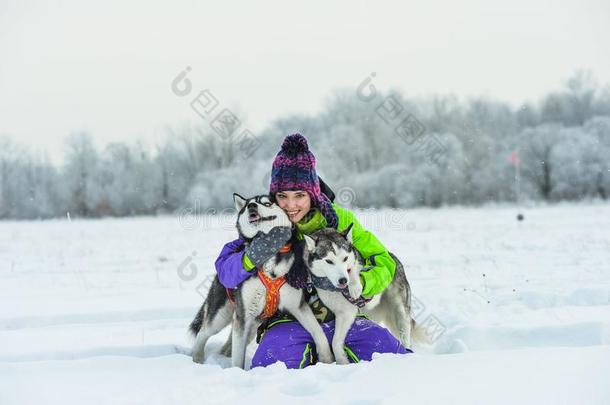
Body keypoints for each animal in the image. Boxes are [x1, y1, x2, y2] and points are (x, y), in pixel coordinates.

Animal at [189, 194, 332, 368]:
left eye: (267, 203)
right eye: (248, 205)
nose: (252, 206)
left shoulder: (298, 306)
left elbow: (318, 332)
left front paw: (327, 359)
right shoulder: (244, 315)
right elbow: (238, 358)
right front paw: (237, 371)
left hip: (250, 324)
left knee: (228, 345)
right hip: (221, 316)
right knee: (203, 333)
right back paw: (196, 359)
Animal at [302, 227, 414, 362]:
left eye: (345, 258)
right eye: (329, 261)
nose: (343, 280)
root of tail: (394, 258)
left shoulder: (346, 311)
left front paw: (354, 285)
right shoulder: (344, 313)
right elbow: (334, 341)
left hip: (400, 312)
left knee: (404, 335)